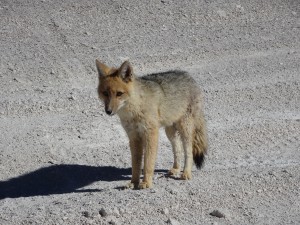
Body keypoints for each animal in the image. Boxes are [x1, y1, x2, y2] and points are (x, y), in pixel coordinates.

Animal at [95, 60, 207, 190]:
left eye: (119, 94)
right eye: (105, 93)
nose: (108, 111)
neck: (135, 109)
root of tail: (189, 77)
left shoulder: (151, 134)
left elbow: (148, 162)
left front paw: (146, 182)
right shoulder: (134, 137)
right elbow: (136, 164)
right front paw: (134, 182)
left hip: (185, 129)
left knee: (188, 151)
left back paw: (186, 173)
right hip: (170, 132)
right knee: (177, 149)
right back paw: (176, 169)